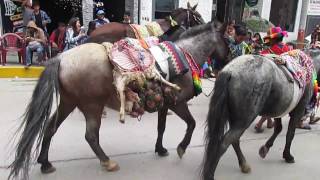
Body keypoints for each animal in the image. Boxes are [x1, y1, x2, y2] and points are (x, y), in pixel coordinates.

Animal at [201, 49, 320, 180]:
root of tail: (230, 71)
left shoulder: (279, 109)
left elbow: (278, 128)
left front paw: (265, 148)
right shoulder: (298, 109)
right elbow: (290, 134)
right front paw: (287, 155)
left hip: (235, 119)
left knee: (234, 140)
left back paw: (244, 165)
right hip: (244, 120)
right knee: (224, 142)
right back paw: (209, 174)